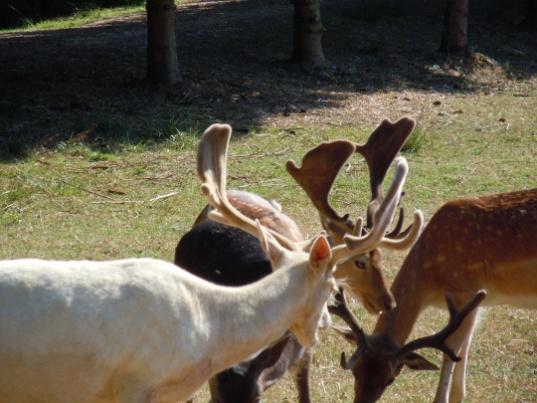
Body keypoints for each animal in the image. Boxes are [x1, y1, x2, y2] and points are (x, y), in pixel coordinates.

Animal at [328, 189, 532, 403]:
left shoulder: (466, 291)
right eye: (355, 371)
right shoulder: (476, 304)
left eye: (390, 380)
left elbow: (451, 354)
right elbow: (462, 363)